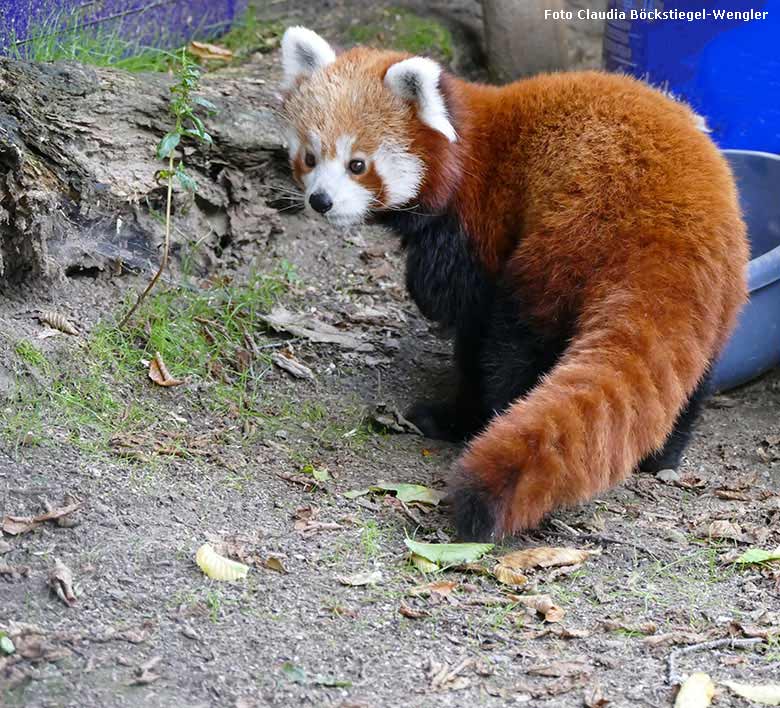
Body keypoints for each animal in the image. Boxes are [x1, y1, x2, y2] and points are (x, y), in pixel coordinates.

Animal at [280, 26, 748, 536]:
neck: (466, 150)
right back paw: (663, 454)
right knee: (694, 374)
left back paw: (473, 418)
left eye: (357, 164)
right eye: (310, 157)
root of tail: (665, 227)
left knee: (515, 346)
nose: (321, 201)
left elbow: (467, 318)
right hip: (720, 294)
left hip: (562, 246)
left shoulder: (478, 222)